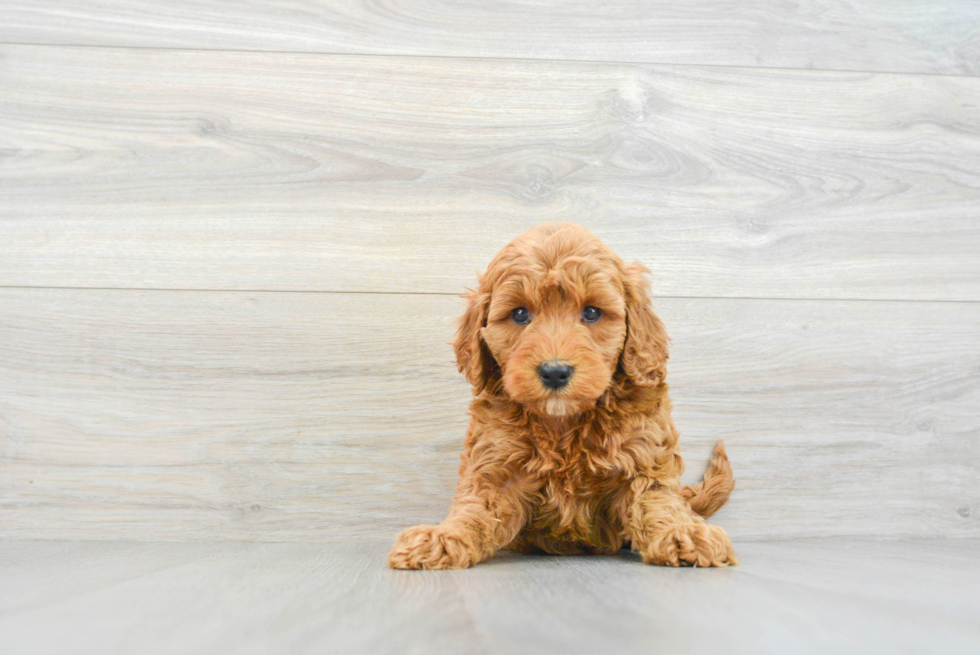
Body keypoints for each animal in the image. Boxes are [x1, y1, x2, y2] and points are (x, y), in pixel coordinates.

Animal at [390, 222, 736, 568]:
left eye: (592, 312)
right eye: (519, 314)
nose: (555, 372)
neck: (563, 422)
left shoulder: (643, 457)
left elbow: (657, 502)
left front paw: (683, 533)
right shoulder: (496, 467)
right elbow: (474, 509)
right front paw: (442, 537)